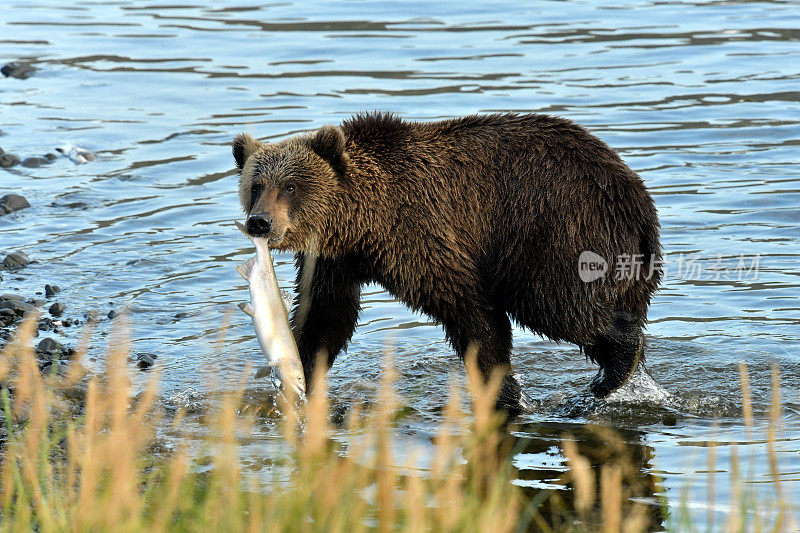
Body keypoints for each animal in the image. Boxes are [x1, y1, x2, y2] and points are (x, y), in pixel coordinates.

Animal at [233, 113, 664, 412]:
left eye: (290, 186)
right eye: (256, 185)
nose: (260, 222)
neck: (360, 223)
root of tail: (637, 198)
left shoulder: (421, 232)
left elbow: (470, 311)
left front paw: (502, 391)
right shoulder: (332, 259)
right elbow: (326, 316)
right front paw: (301, 373)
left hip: (554, 230)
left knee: (557, 304)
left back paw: (614, 368)